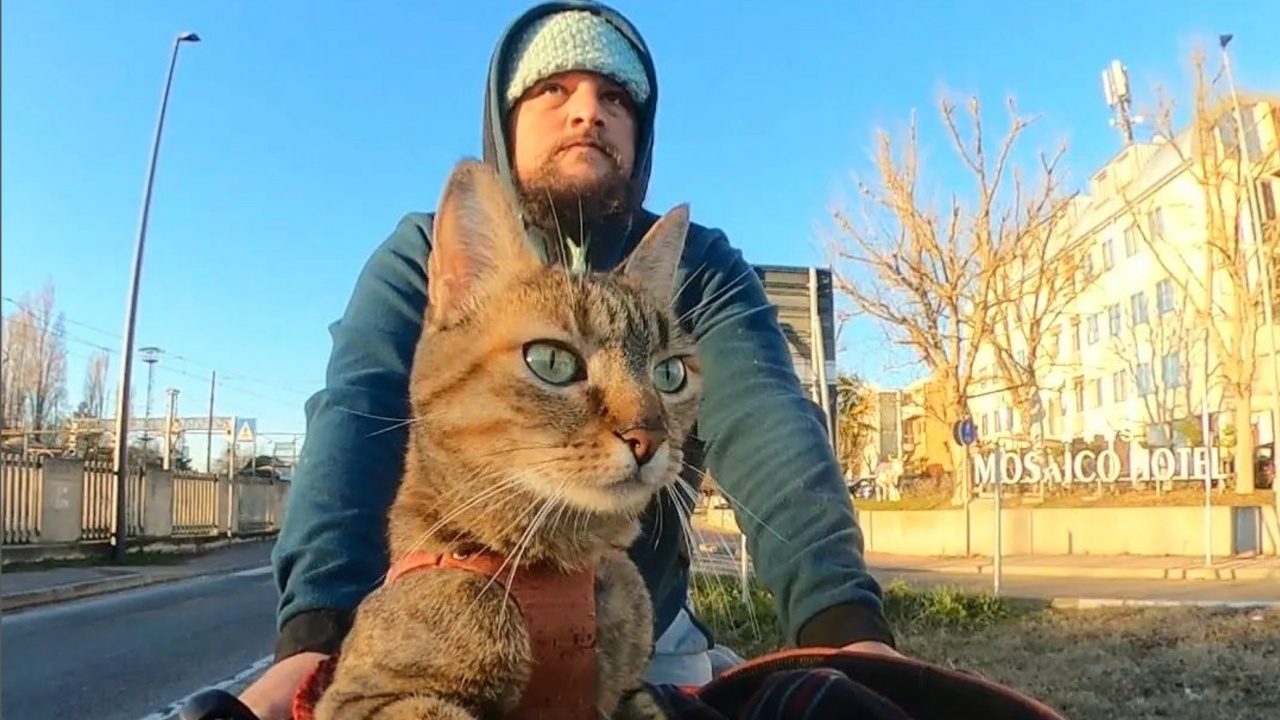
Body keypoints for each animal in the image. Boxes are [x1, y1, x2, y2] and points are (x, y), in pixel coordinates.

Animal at [314, 159, 706, 717]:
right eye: (552, 362)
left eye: (670, 374)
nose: (647, 437)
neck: (556, 567)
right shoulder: (364, 699)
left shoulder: (630, 691)